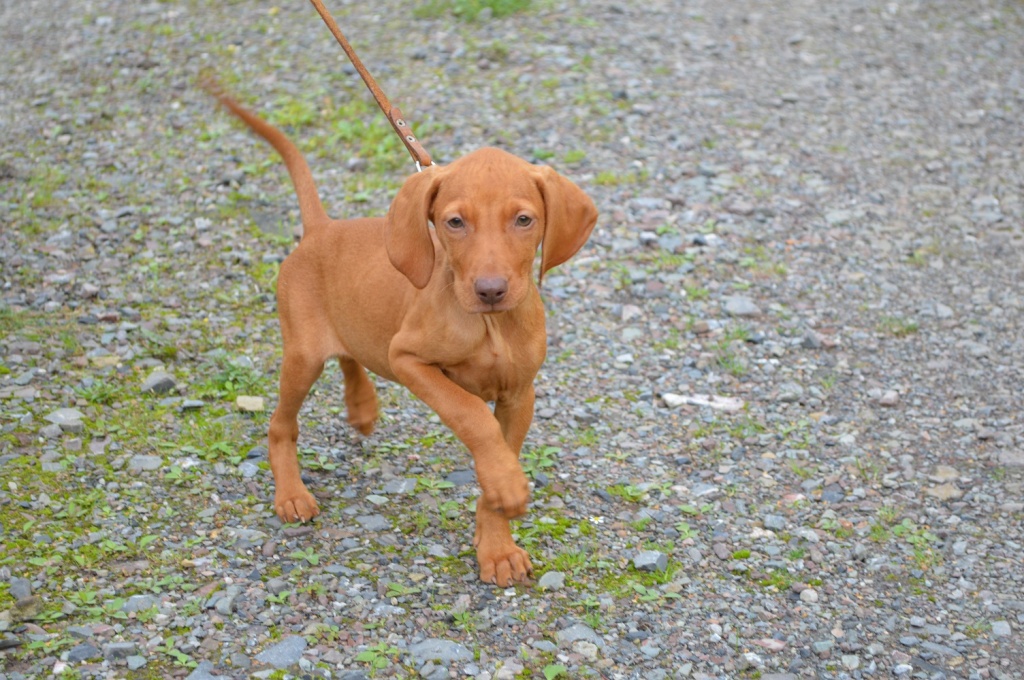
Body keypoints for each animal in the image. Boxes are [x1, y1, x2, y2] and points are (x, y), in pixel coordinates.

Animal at [209, 86, 598, 585]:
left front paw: (496, 543)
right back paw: (291, 493)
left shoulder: (519, 393)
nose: (490, 290)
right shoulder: (409, 359)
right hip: (302, 355)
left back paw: (361, 407)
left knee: (350, 353)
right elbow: (473, 415)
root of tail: (321, 229)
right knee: (281, 424)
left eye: (524, 220)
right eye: (455, 223)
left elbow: (499, 448)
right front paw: (506, 488)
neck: (489, 326)